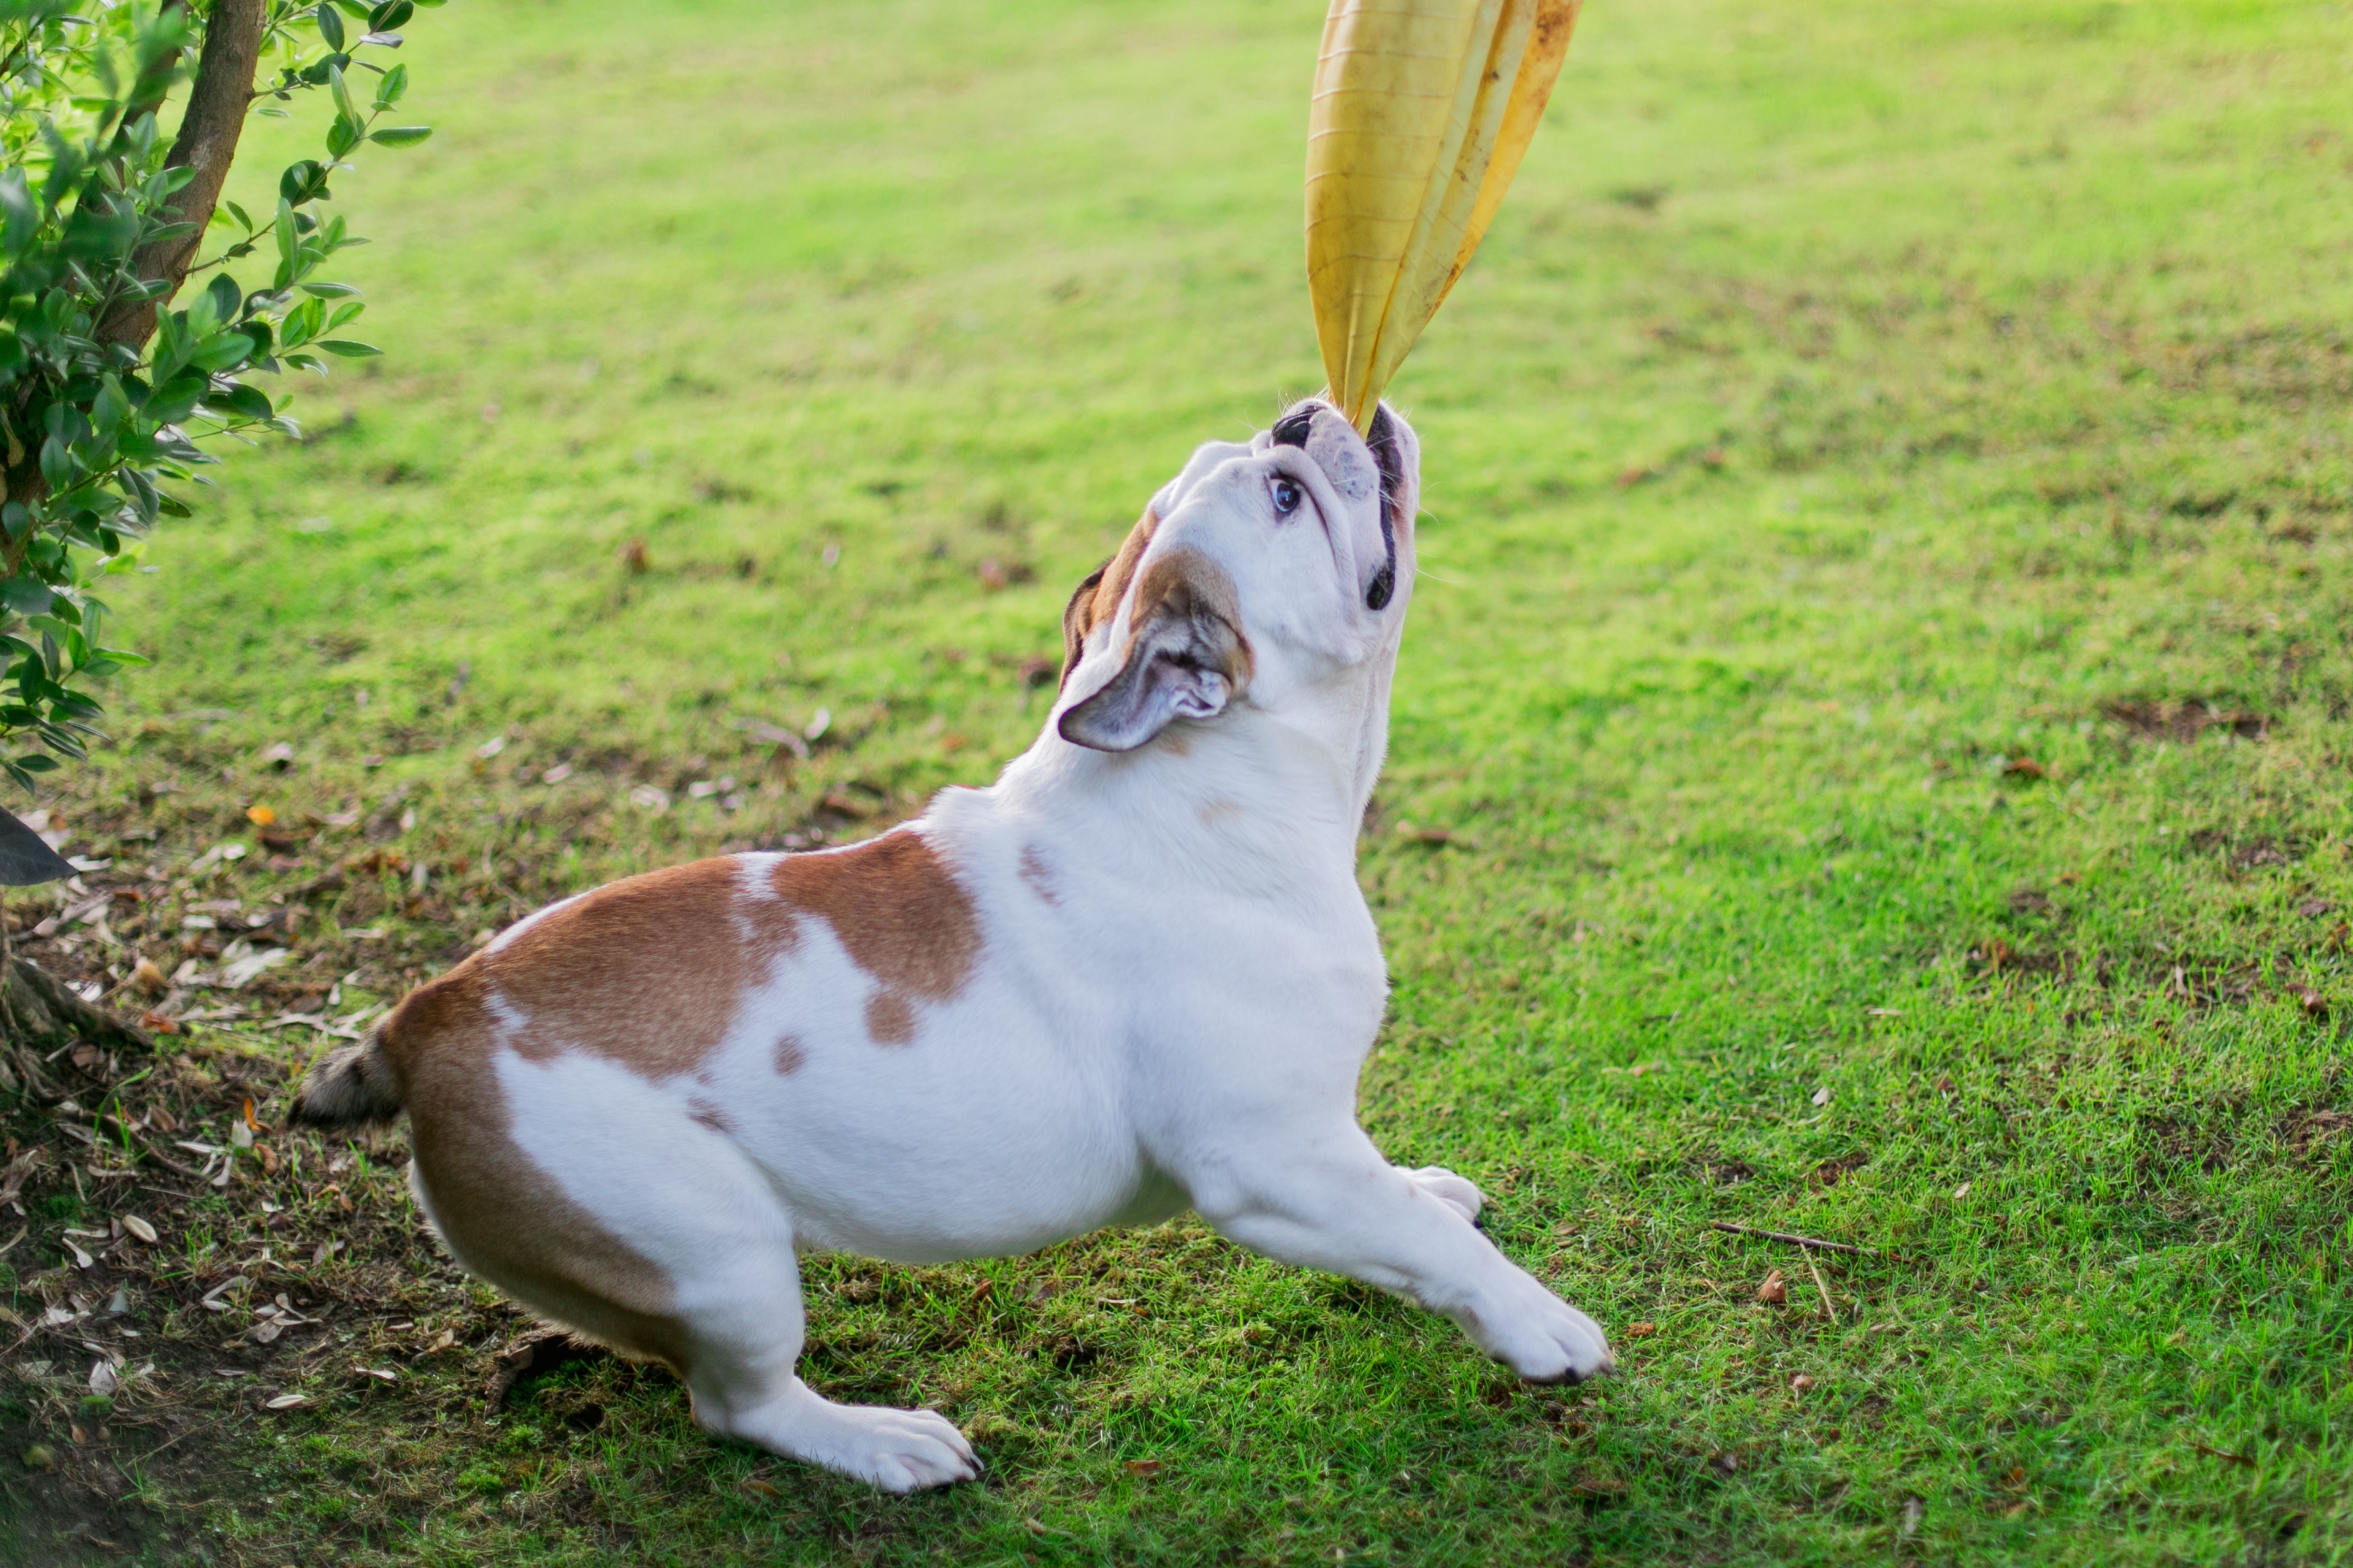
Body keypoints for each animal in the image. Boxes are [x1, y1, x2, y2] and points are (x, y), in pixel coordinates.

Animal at [289, 400, 1619, 1495]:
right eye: (1286, 496)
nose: (1299, 413)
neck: (1214, 782)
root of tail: (427, 1018)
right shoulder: (1264, 1160)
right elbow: (1416, 1241)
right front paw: (1531, 1319)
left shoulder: (1314, 1144)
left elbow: (1394, 1204)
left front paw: (1421, 1190)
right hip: (714, 1258)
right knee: (739, 1400)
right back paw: (881, 1441)